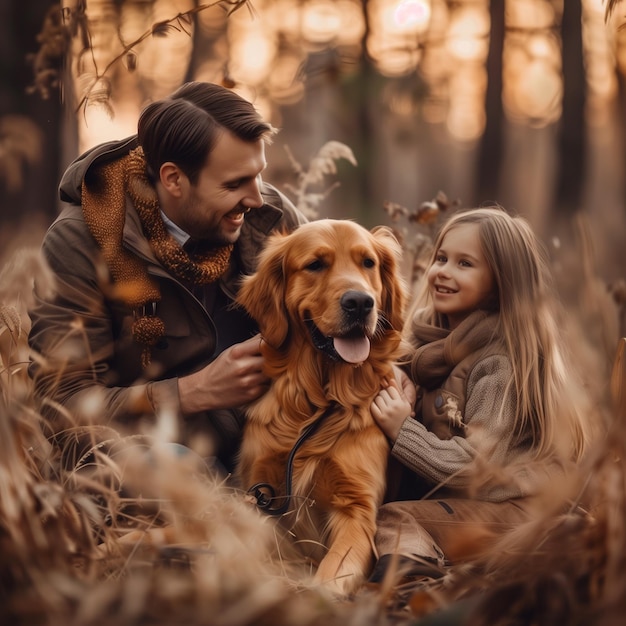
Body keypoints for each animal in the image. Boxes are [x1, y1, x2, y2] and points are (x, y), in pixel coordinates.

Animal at [234, 218, 404, 588]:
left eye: (367, 263)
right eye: (315, 265)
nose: (360, 303)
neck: (320, 404)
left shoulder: (357, 510)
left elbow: (331, 576)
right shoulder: (259, 494)